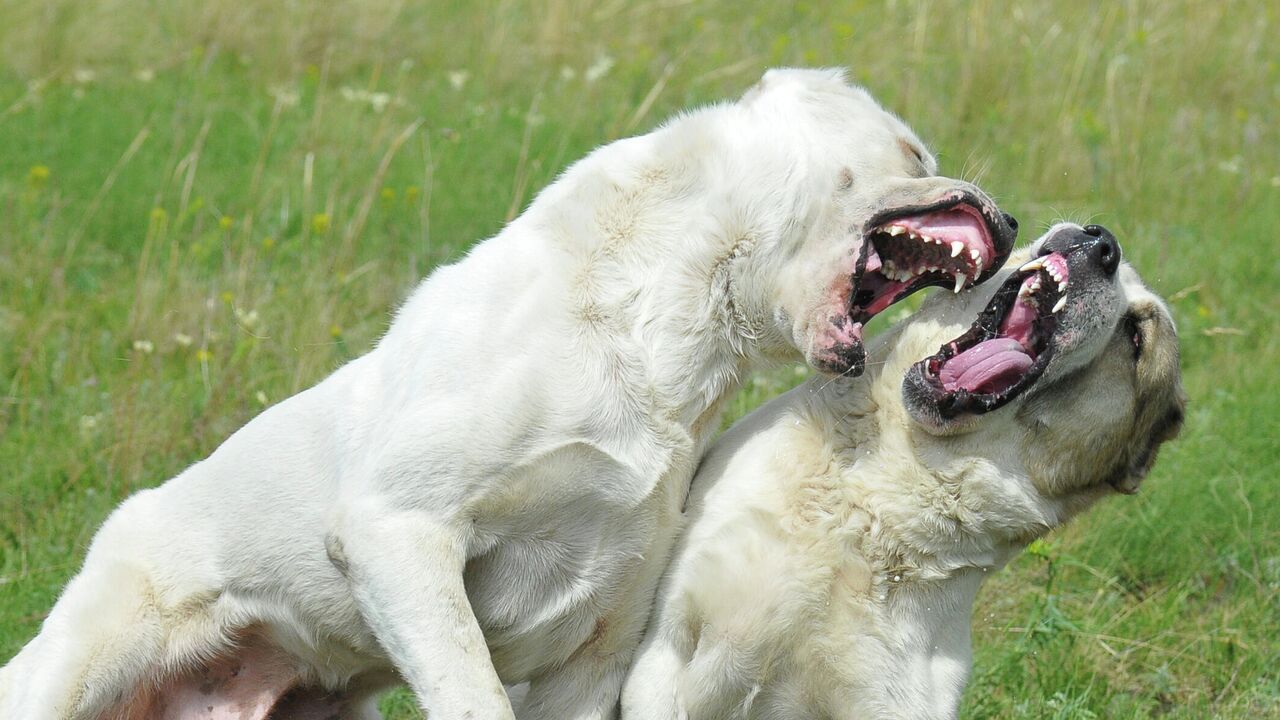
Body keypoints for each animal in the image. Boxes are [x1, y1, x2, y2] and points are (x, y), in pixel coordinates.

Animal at [2, 68, 1018, 717]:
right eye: (912, 149)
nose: (1008, 219)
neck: (663, 334)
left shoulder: (597, 644)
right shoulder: (399, 533)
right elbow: (471, 692)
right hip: (65, 670)